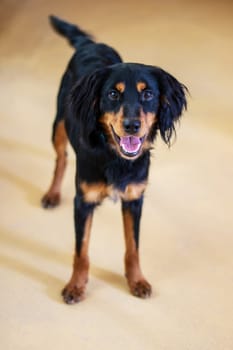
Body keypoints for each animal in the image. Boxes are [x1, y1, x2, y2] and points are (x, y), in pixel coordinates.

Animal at [41, 15, 187, 304]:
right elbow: (81, 251)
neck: (115, 156)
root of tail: (90, 44)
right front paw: (75, 285)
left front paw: (137, 280)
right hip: (59, 124)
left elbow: (133, 247)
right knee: (61, 158)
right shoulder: (83, 201)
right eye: (112, 94)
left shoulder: (134, 199)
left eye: (148, 94)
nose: (132, 126)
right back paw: (52, 193)